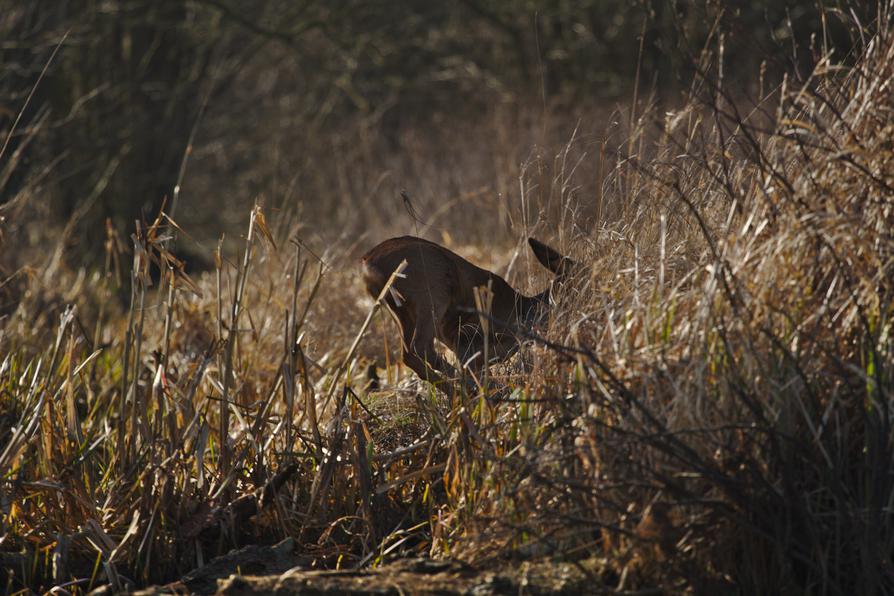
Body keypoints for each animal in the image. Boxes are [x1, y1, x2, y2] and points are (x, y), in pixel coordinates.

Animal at [362, 234, 576, 396]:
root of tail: (368, 263)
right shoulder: (467, 338)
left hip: (400, 310)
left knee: (408, 354)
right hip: (431, 292)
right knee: (420, 347)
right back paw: (467, 389)